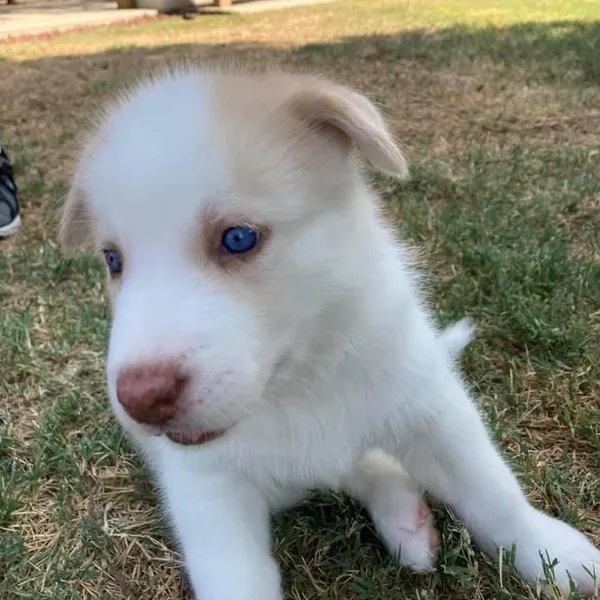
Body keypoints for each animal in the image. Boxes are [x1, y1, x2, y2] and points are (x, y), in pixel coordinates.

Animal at [58, 67, 596, 600]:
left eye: (238, 238)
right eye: (113, 260)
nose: (140, 399)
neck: (298, 383)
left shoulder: (432, 410)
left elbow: (492, 491)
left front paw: (551, 554)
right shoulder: (208, 490)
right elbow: (235, 577)